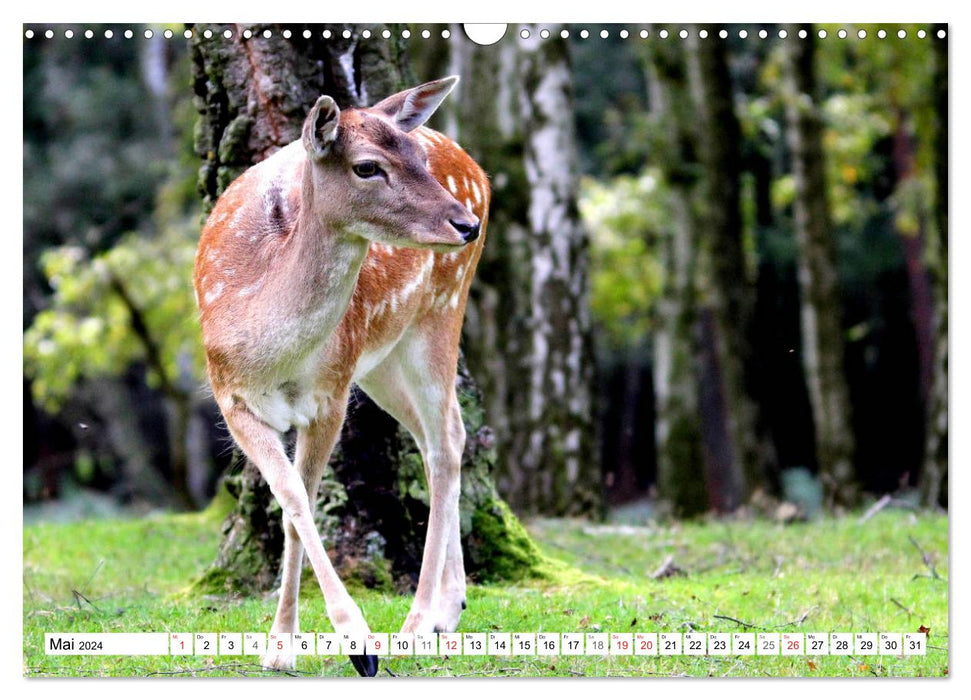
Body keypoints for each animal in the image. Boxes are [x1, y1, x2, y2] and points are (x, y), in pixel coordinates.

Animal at [195, 75, 490, 672]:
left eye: (415, 157)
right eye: (367, 166)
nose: (465, 224)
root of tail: (480, 172)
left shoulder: (329, 396)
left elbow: (300, 499)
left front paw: (357, 642)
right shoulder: (231, 398)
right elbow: (291, 499)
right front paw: (282, 646)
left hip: (439, 310)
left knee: (446, 440)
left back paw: (419, 622)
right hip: (381, 361)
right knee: (441, 434)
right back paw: (449, 609)